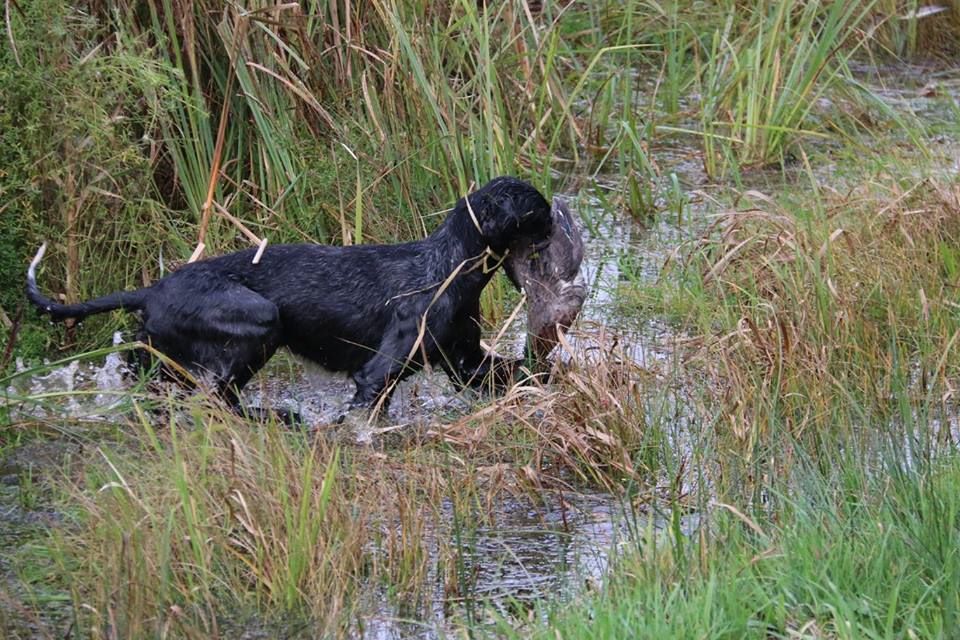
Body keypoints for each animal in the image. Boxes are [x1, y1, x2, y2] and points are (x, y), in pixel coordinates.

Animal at [26, 178, 552, 422]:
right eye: (540, 212)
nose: (553, 232)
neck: (448, 266)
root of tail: (151, 289)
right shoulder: (377, 373)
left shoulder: (464, 362)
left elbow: (511, 373)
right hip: (260, 323)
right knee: (221, 401)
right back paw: (282, 417)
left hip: (162, 361)